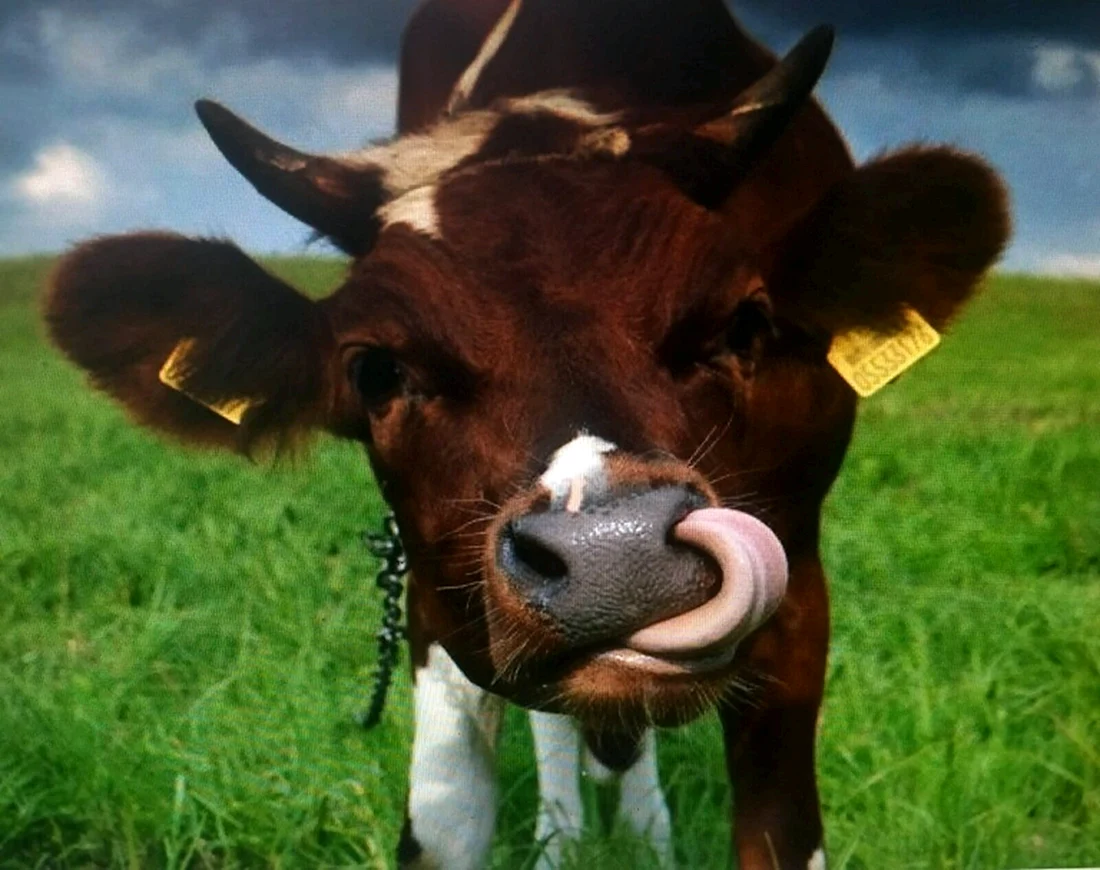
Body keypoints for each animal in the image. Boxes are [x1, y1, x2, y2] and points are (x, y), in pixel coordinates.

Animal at [44, 0, 1010, 867]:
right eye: (376, 370)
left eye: (743, 325)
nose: (620, 557)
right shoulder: (435, 595)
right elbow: (450, 820)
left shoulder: (799, 585)